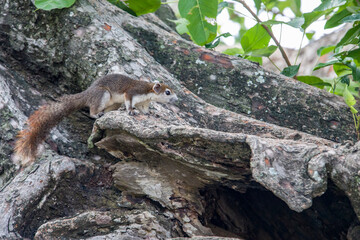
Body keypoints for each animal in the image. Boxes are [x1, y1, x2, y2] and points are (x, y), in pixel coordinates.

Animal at [13, 73, 178, 167]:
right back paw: (96, 115)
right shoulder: (132, 93)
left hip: (113, 103)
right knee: (93, 110)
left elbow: (145, 110)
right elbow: (129, 102)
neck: (148, 92)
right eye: (168, 92)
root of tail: (87, 94)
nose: (176, 99)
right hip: (102, 95)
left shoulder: (143, 103)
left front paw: (151, 114)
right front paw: (131, 111)